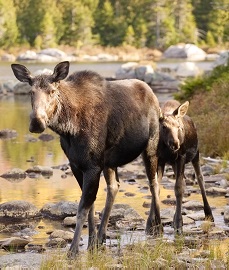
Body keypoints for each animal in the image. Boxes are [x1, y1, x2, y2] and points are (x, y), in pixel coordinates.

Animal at [11, 61, 163, 258]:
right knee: (114, 187)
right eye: (31, 92)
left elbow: (82, 208)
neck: (68, 128)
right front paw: (91, 242)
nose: (37, 122)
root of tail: (153, 95)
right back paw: (102, 235)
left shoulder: (92, 166)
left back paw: (157, 226)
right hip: (110, 162)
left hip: (150, 146)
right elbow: (91, 207)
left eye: (52, 91)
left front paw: (73, 249)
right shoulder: (77, 165)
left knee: (154, 184)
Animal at [158, 99, 214, 234]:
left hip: (196, 154)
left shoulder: (181, 157)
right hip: (175, 163)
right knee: (184, 181)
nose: (175, 143)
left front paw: (178, 224)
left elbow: (179, 188)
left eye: (178, 127)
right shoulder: (160, 159)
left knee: (200, 179)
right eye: (164, 126)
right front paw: (155, 225)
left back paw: (208, 213)